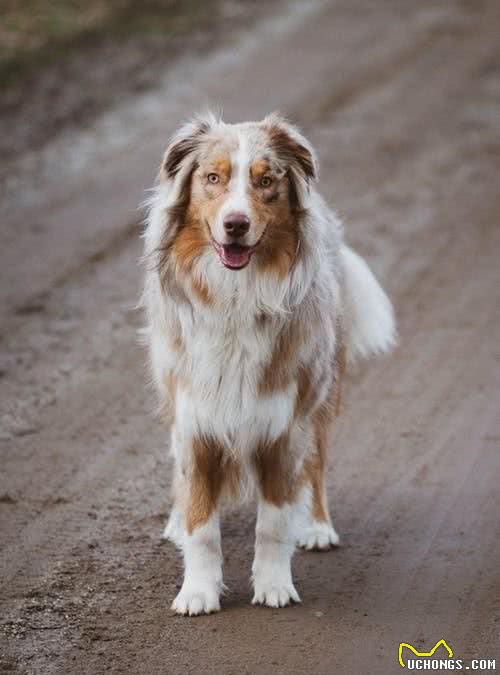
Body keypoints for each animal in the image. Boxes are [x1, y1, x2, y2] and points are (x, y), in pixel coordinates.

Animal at [141, 112, 394, 616]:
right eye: (212, 178)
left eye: (265, 181)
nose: (236, 224)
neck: (235, 297)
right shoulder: (195, 420)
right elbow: (202, 525)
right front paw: (197, 592)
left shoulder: (282, 425)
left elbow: (274, 523)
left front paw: (275, 586)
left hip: (321, 395)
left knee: (316, 466)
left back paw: (316, 526)